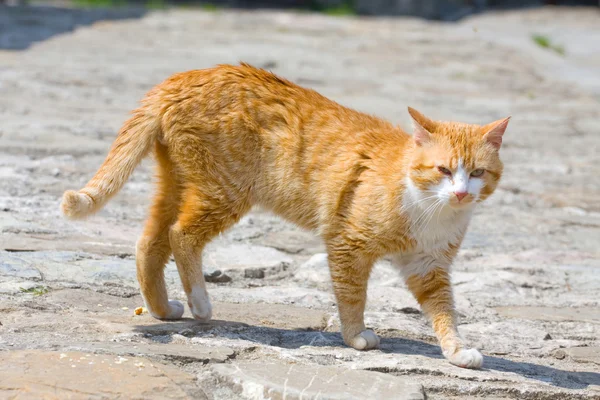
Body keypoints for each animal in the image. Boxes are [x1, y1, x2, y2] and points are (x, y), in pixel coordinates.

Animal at [62, 63, 510, 368]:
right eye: (443, 170)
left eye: (477, 173)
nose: (460, 192)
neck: (431, 208)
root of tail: (184, 77)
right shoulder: (347, 244)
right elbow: (352, 296)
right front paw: (356, 337)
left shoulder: (427, 267)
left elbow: (444, 312)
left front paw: (456, 351)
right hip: (223, 193)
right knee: (180, 235)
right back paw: (200, 304)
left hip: (180, 181)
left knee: (149, 241)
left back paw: (162, 308)